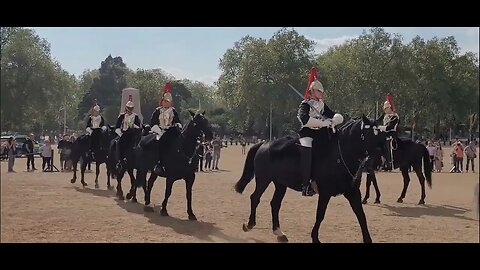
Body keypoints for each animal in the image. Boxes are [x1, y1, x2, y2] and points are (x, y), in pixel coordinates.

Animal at [234, 115, 384, 243]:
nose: (379, 162)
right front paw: (315, 238)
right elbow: (320, 215)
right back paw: (249, 224)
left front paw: (367, 239)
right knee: (255, 197)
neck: (340, 155)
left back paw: (279, 233)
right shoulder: (325, 193)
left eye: (382, 134)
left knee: (275, 204)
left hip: (280, 184)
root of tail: (264, 144)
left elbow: (361, 215)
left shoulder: (353, 193)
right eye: (369, 134)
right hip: (263, 180)